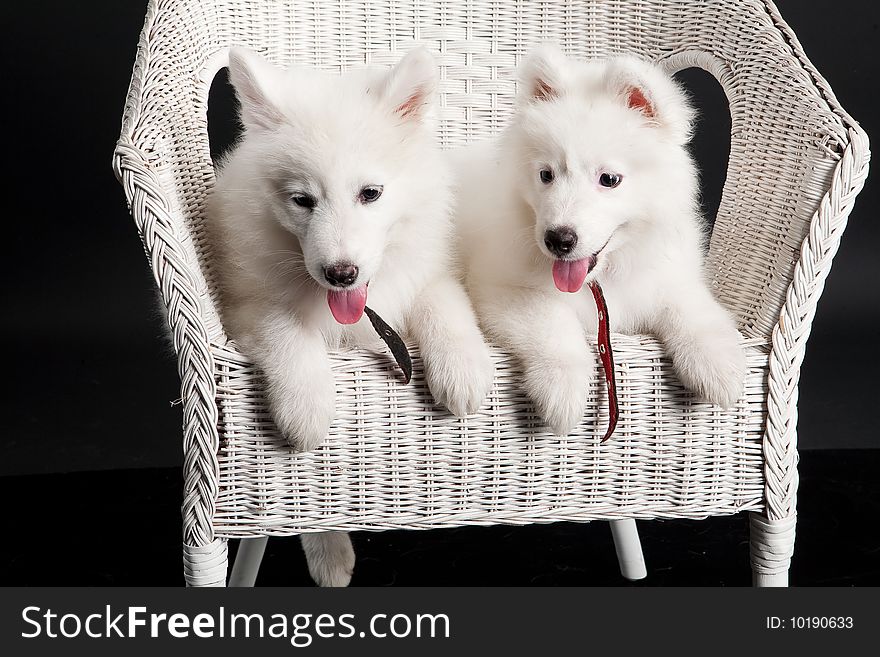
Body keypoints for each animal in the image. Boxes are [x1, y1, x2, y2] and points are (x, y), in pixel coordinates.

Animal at [207, 48, 496, 588]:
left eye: (371, 193)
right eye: (302, 200)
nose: (341, 273)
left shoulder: (425, 274)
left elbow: (443, 305)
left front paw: (462, 371)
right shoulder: (247, 307)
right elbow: (288, 332)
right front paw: (305, 408)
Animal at [454, 47, 744, 436]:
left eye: (609, 179)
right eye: (546, 174)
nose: (558, 239)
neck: (602, 277)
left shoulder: (664, 277)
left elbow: (692, 308)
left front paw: (719, 367)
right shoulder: (499, 287)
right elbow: (554, 324)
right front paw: (562, 392)